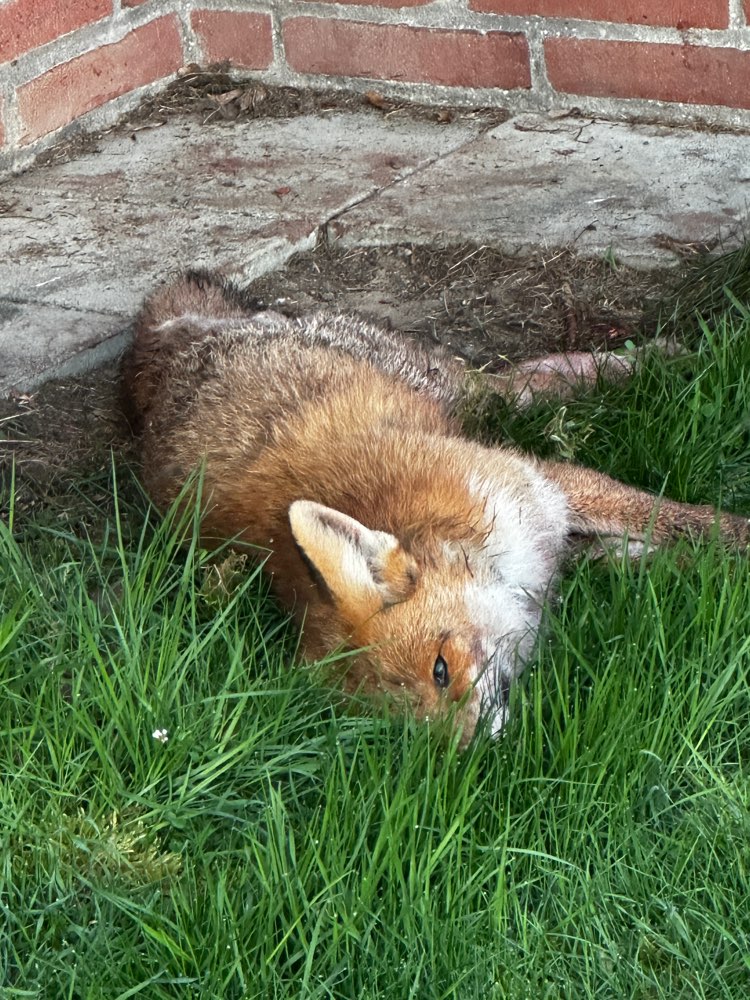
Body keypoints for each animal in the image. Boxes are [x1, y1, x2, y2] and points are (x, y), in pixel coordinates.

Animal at [123, 270, 749, 744]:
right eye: (413, 727)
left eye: (441, 670)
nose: (474, 750)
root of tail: (168, 350)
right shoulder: (558, 549)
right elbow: (659, 560)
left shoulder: (543, 487)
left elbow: (677, 521)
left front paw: (733, 536)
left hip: (455, 389)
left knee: (526, 381)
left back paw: (652, 359)